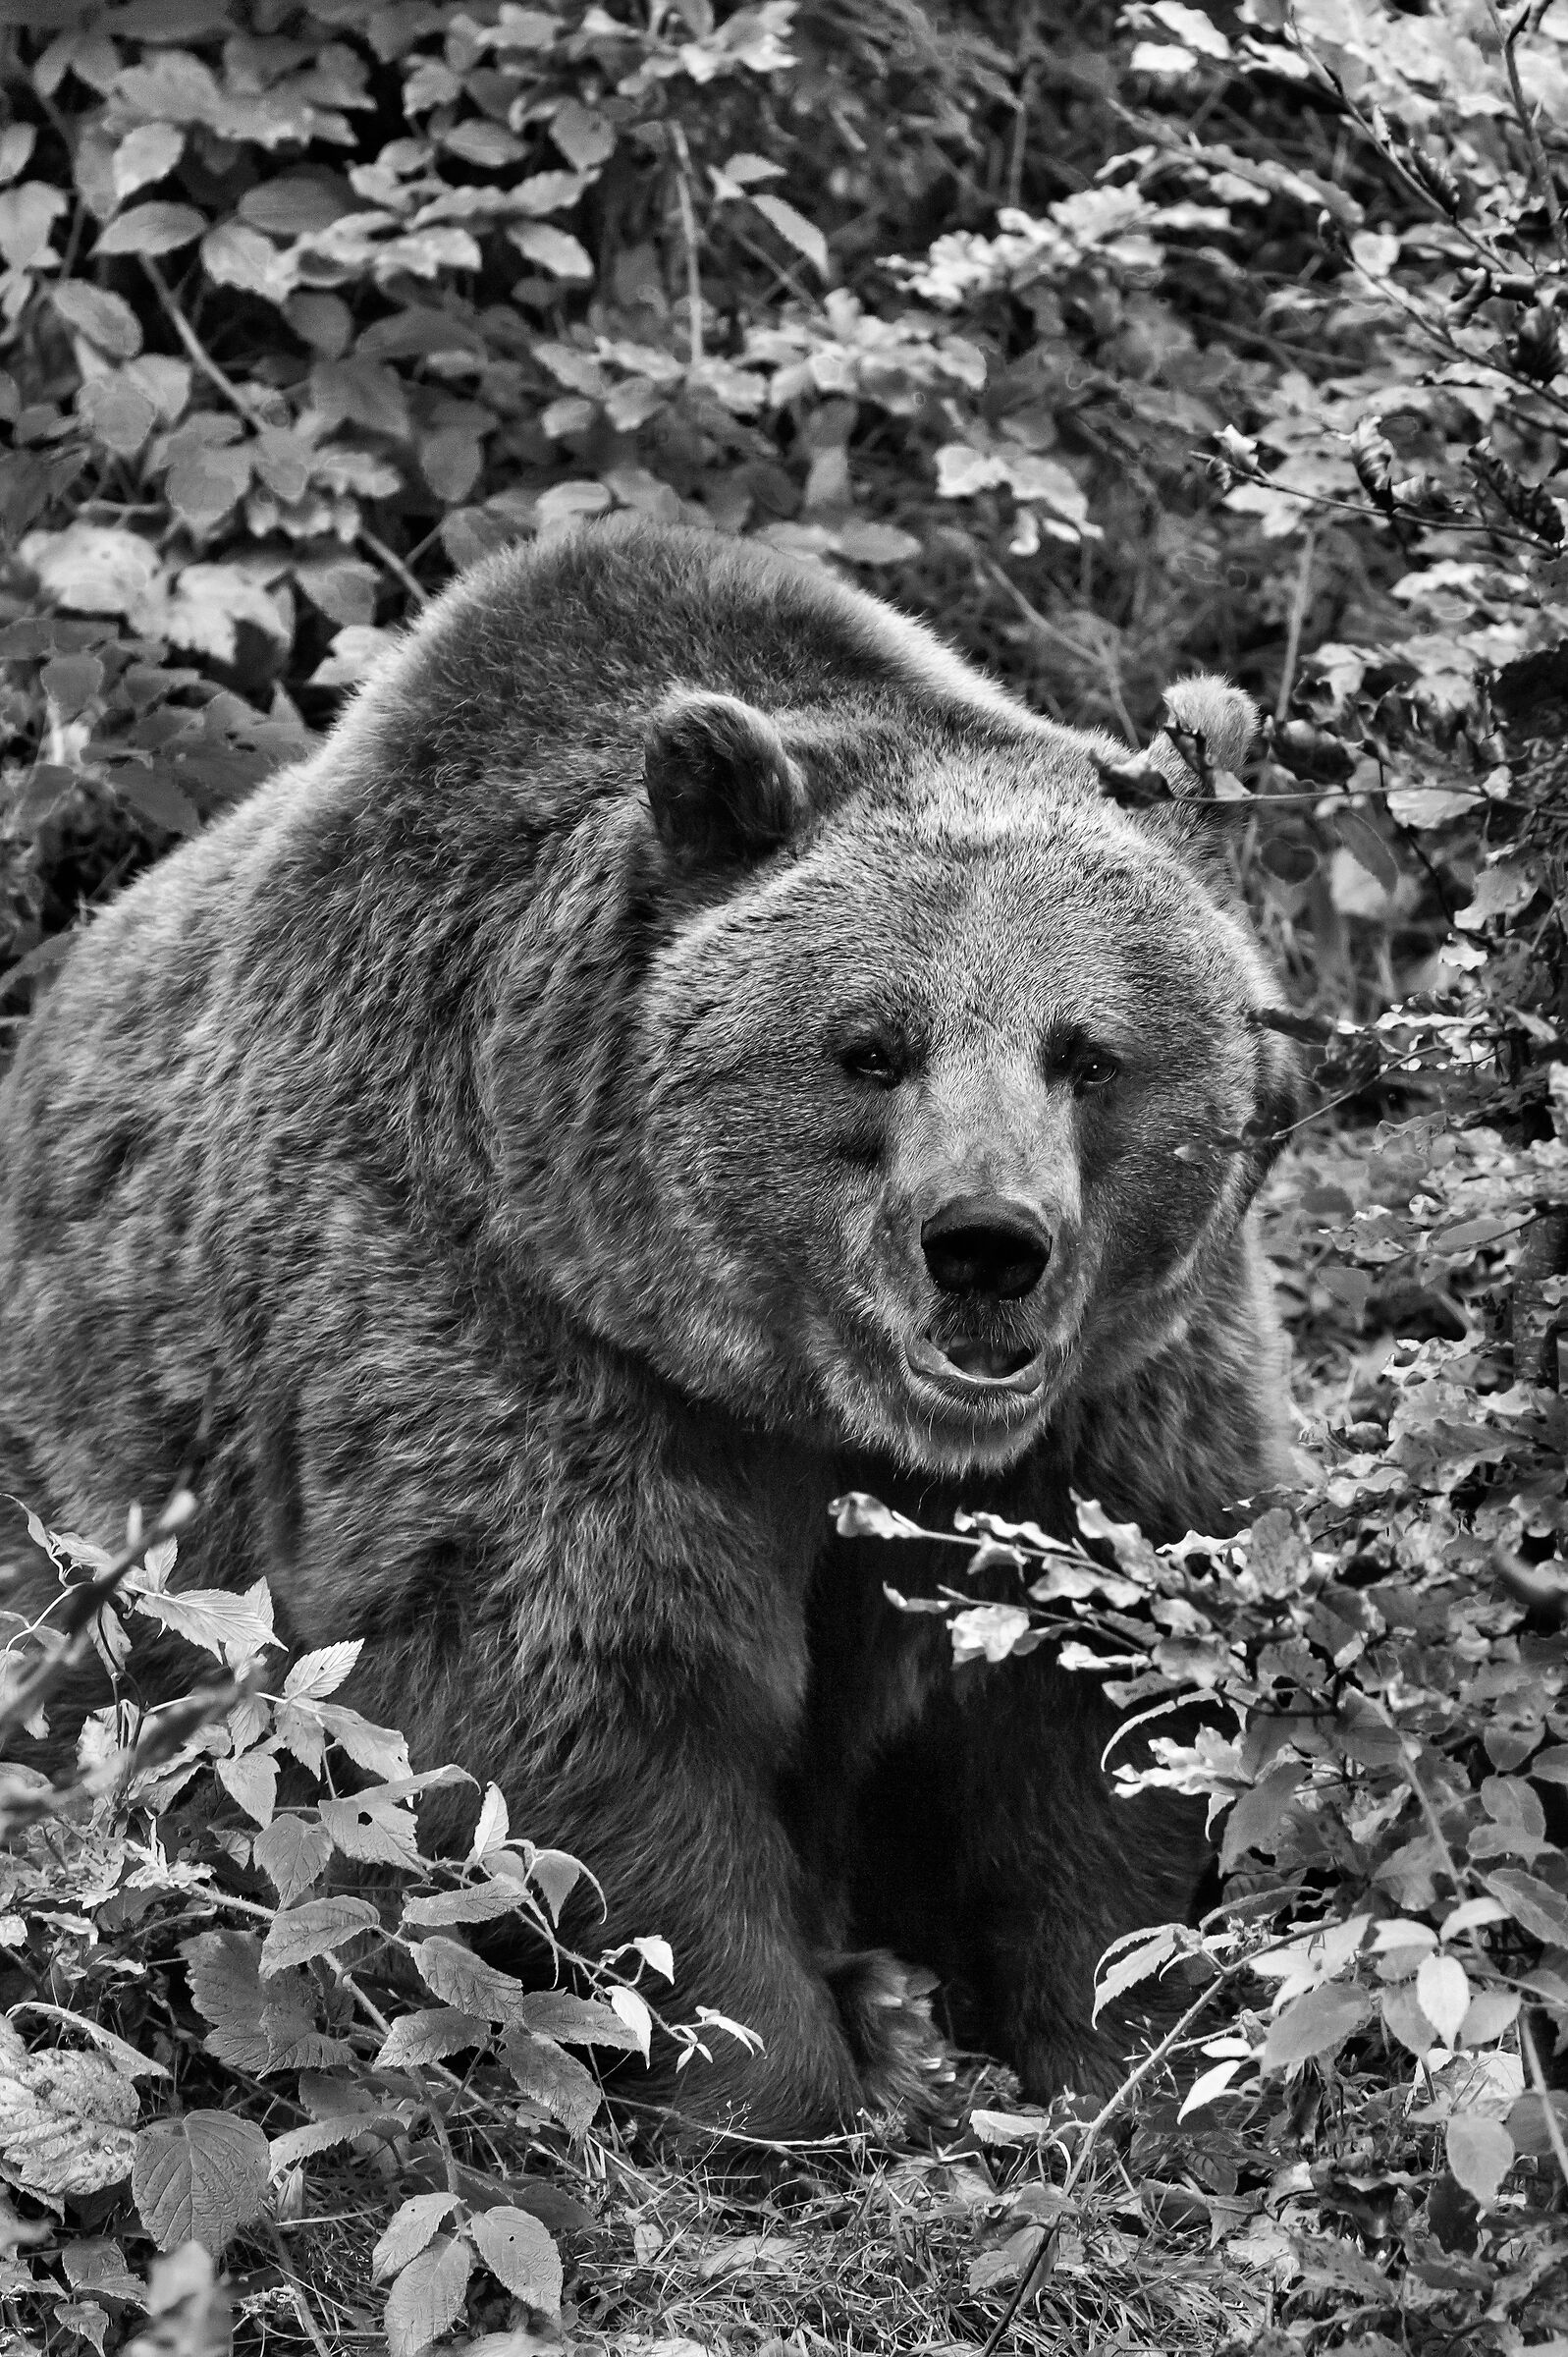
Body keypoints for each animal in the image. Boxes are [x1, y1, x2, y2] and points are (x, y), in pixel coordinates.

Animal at [0, 517, 1300, 2134]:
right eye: (869, 1047)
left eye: (1089, 1054)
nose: (987, 1244)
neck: (803, 1395)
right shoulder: (518, 1311)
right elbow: (581, 1688)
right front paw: (792, 2078)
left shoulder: (1119, 1389)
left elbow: (1094, 1687)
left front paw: (1120, 2046)